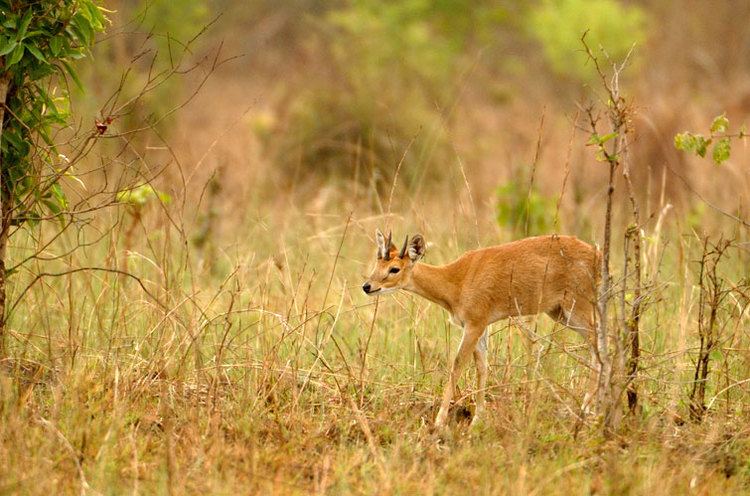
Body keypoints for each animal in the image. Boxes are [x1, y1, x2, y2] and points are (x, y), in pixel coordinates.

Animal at [362, 229, 604, 426]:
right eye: (377, 263)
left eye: (394, 268)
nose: (367, 286)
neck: (456, 281)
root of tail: (597, 254)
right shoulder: (482, 326)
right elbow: (482, 368)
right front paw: (478, 417)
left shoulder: (474, 325)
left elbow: (457, 366)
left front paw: (439, 421)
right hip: (559, 312)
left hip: (577, 307)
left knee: (598, 343)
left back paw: (586, 407)